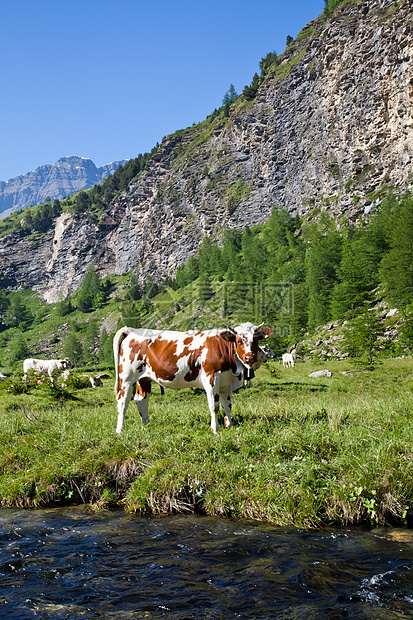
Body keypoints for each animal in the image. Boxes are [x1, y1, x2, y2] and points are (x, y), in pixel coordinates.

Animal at [114, 322, 272, 434]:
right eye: (239, 341)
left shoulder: (226, 383)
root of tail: (132, 330)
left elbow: (227, 406)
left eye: (256, 340)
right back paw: (120, 429)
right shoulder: (211, 379)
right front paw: (215, 429)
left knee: (141, 399)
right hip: (126, 377)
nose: (249, 357)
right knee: (123, 401)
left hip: (144, 378)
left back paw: (146, 425)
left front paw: (229, 425)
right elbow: (214, 406)